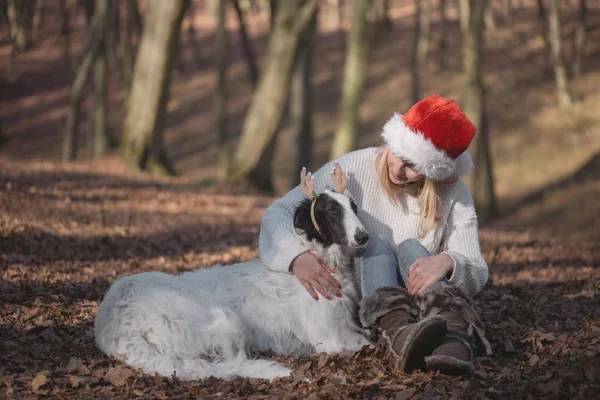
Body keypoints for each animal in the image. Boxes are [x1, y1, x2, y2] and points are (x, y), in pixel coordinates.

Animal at [94, 166, 370, 382]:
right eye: (332, 211)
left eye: (354, 207)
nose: (364, 237)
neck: (320, 256)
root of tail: (114, 324)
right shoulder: (332, 338)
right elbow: (369, 343)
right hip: (227, 317)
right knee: (232, 362)